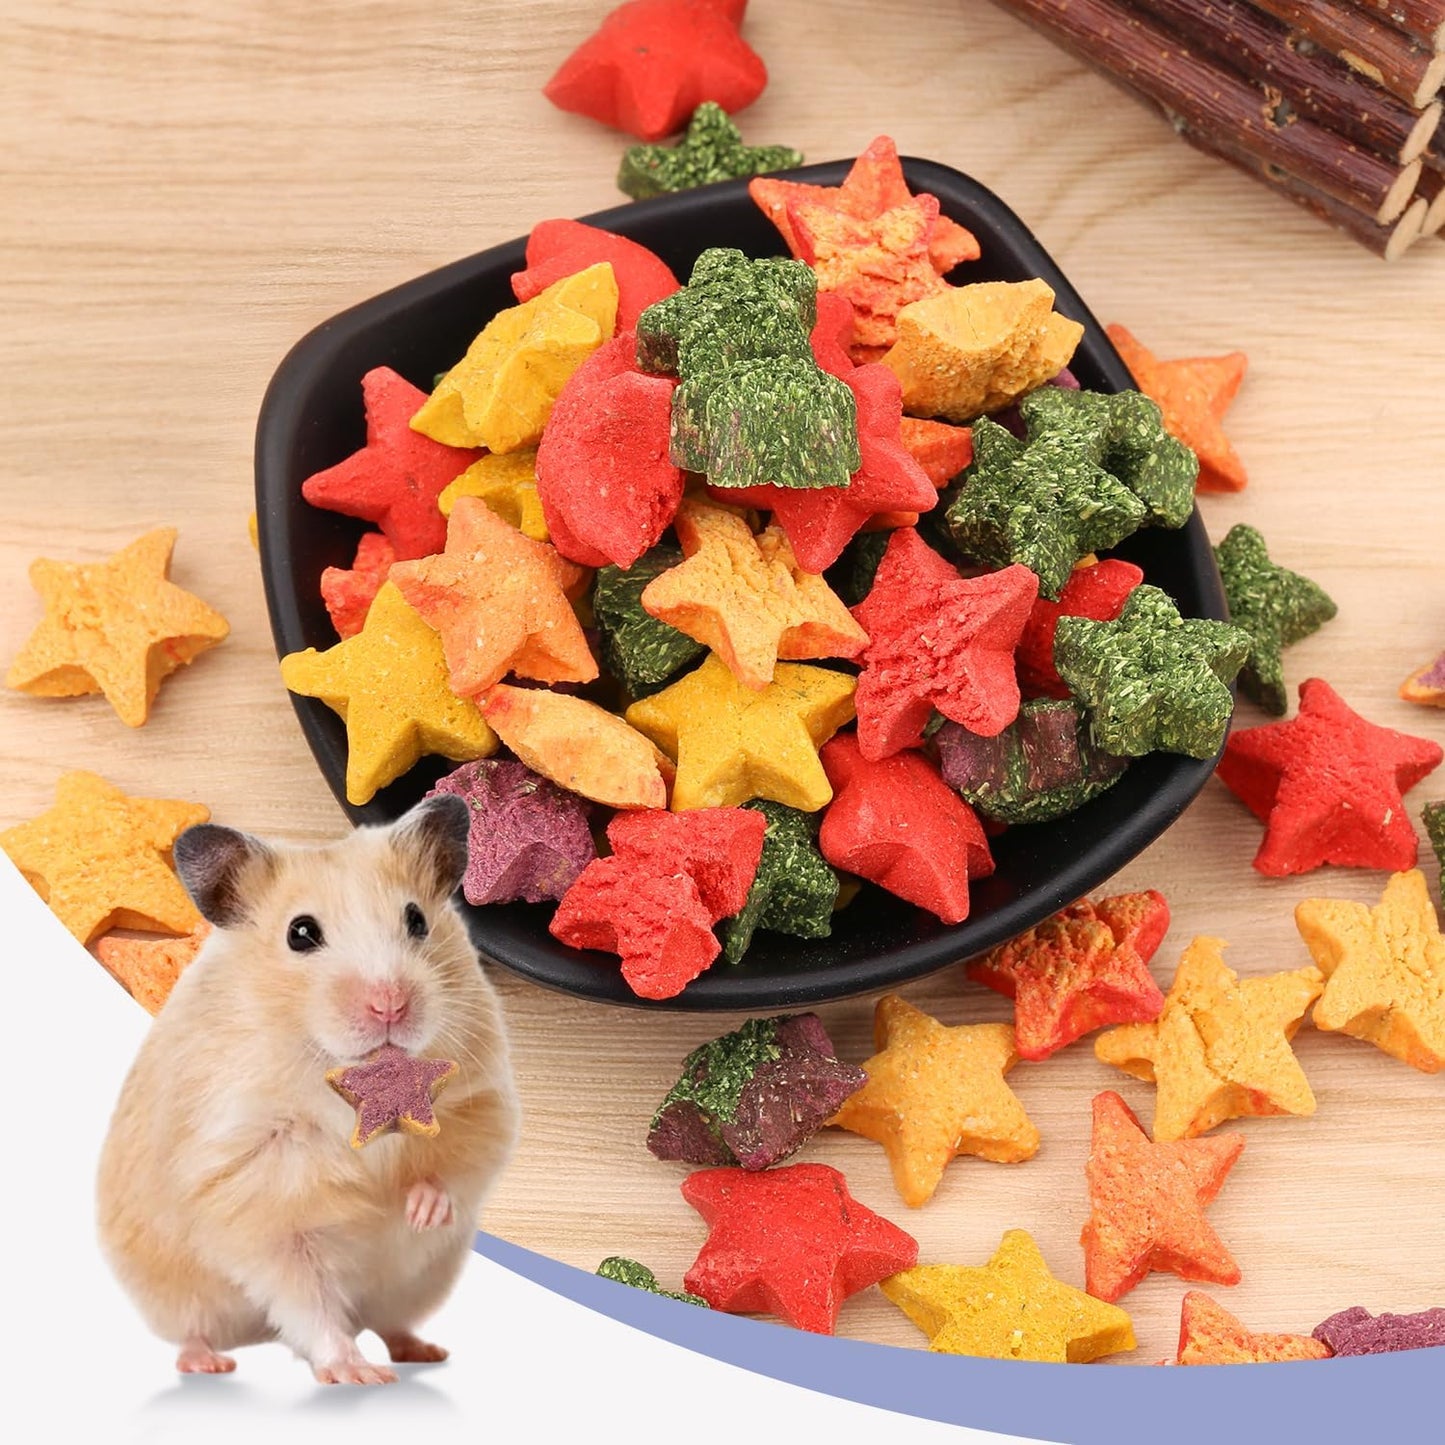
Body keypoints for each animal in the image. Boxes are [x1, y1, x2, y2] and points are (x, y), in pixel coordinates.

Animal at [96, 793, 518, 1385]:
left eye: (417, 919)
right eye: (300, 933)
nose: (390, 1005)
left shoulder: (479, 1097)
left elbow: (455, 1164)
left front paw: (418, 1211)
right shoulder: (254, 1191)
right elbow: (307, 1294)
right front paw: (356, 1373)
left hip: (416, 1284)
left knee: (391, 1323)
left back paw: (425, 1352)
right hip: (174, 1294)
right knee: (202, 1330)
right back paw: (211, 1363)